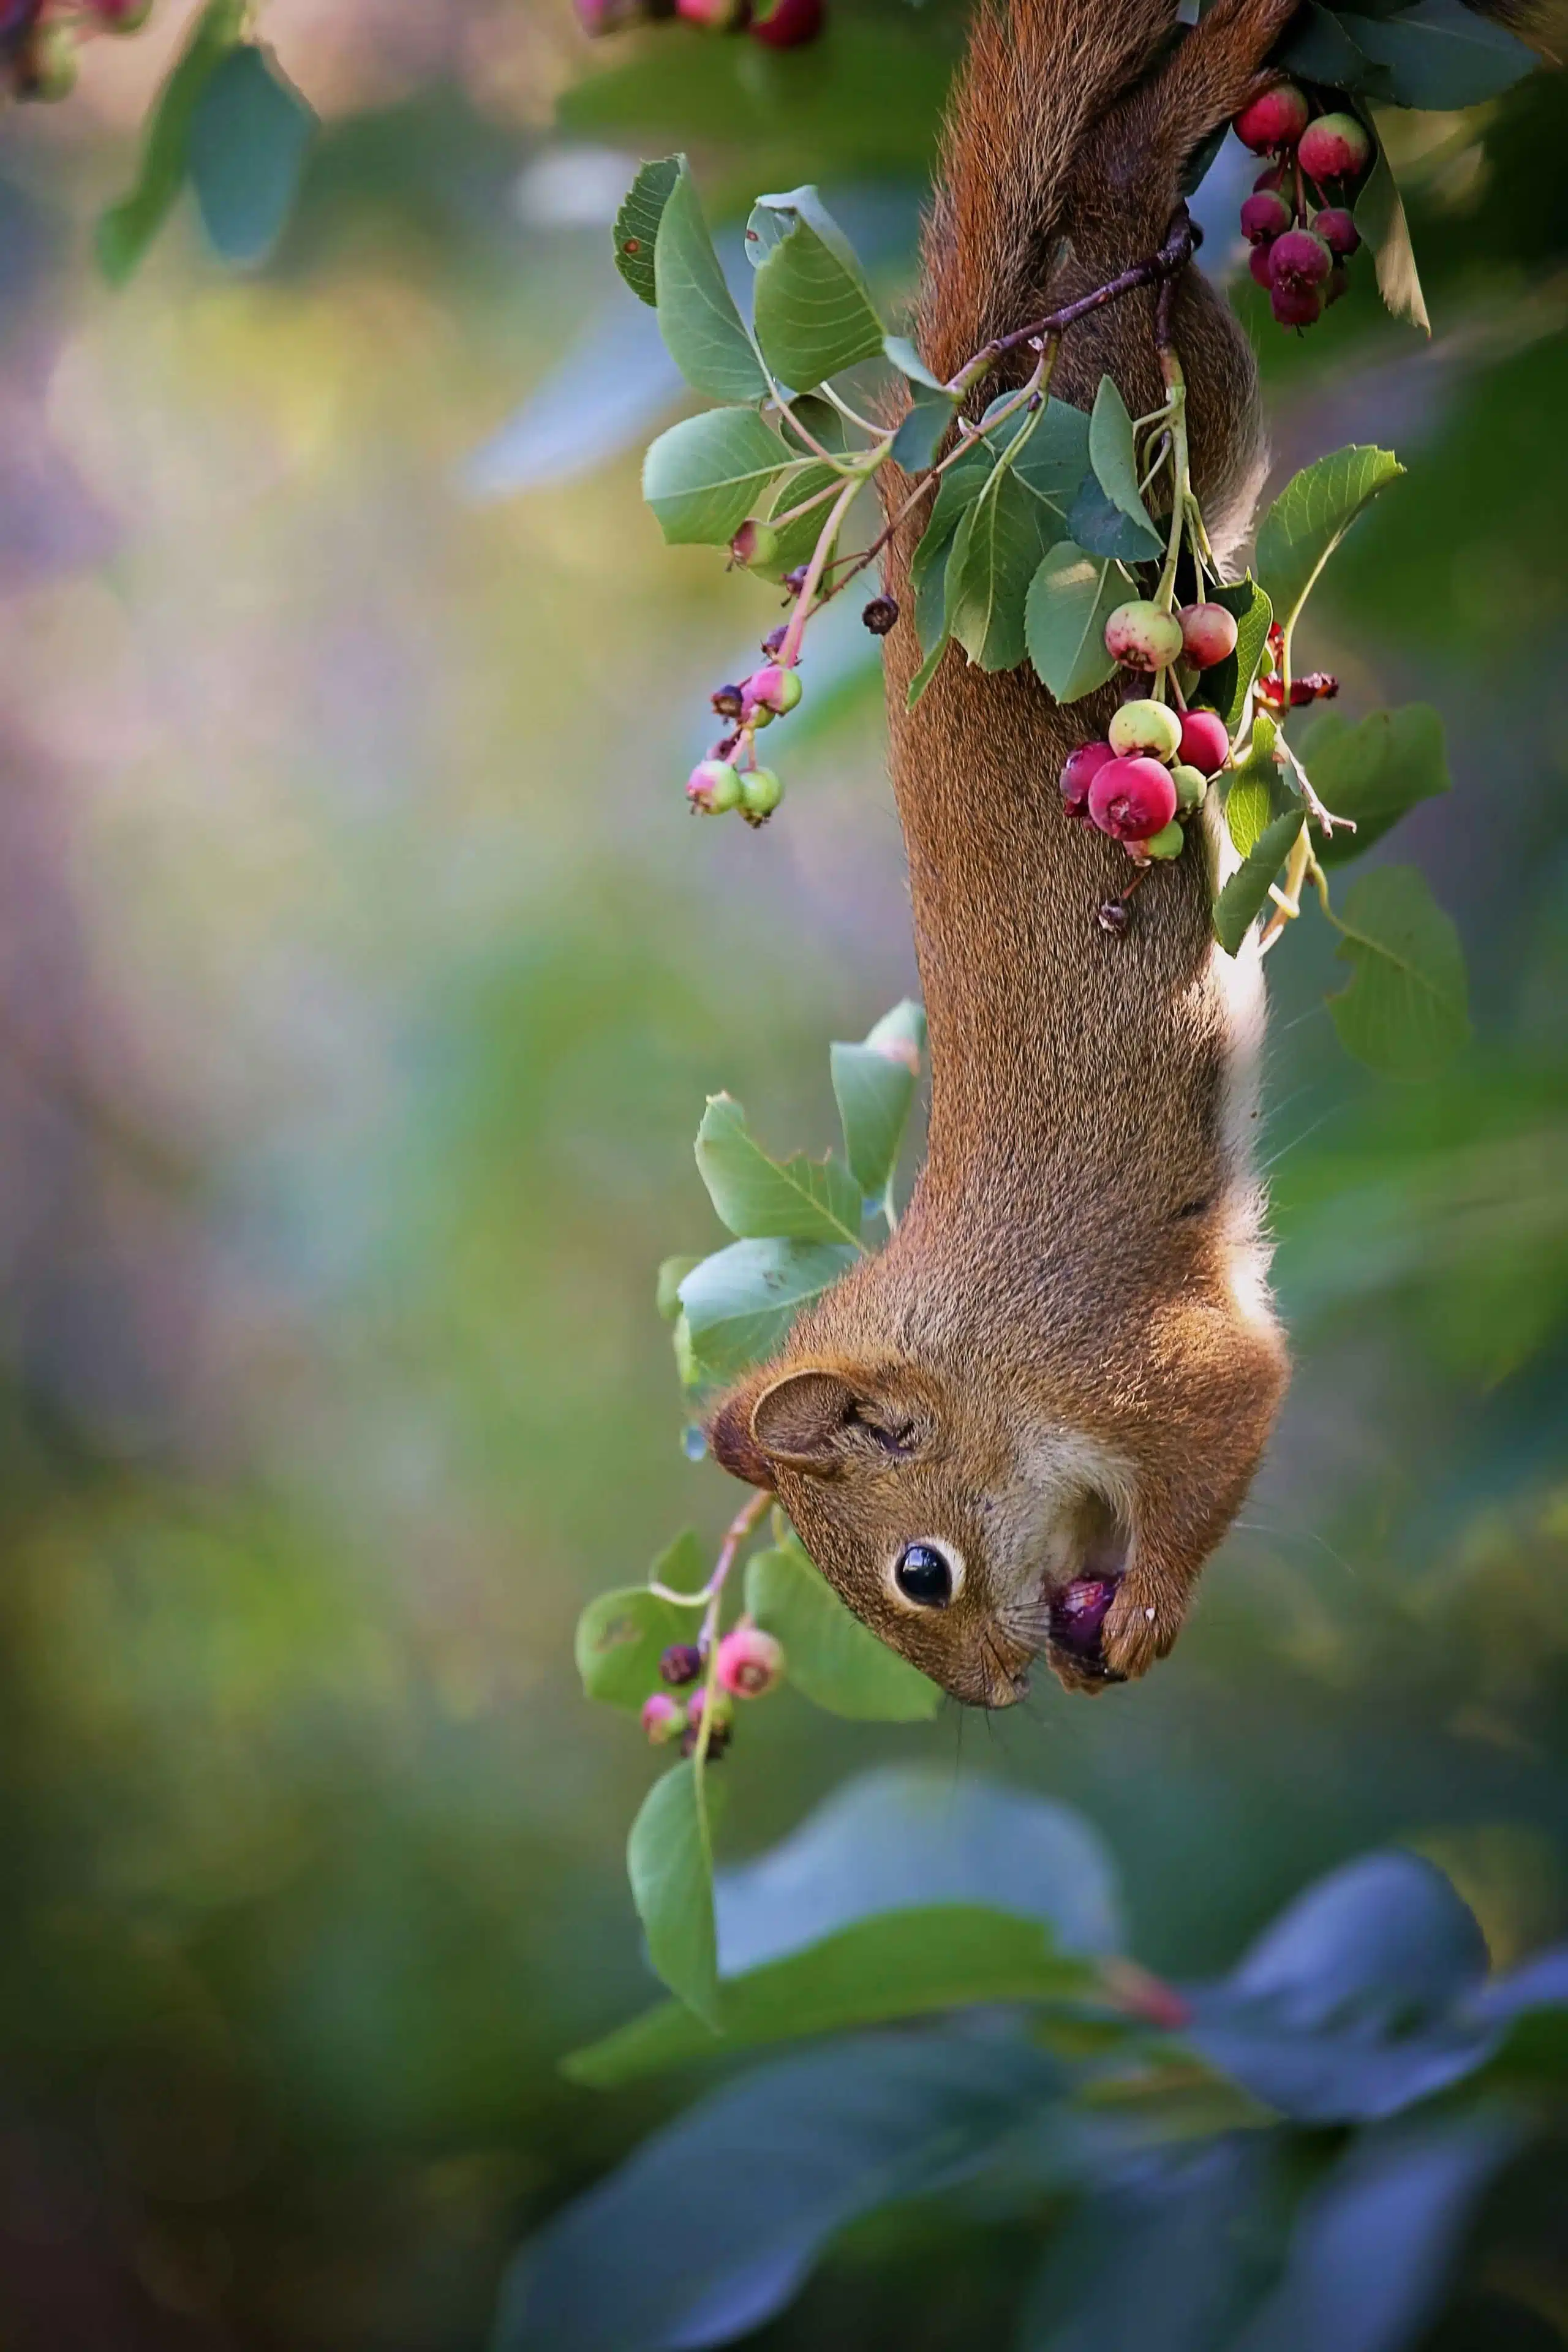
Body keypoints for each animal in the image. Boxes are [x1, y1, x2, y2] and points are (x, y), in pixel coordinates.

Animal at [707, 0, 1325, 1705]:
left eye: (916, 1570)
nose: (989, 1692)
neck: (990, 1373)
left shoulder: (1135, 1362)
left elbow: (1238, 1398)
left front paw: (1147, 1605)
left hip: (1164, 419)